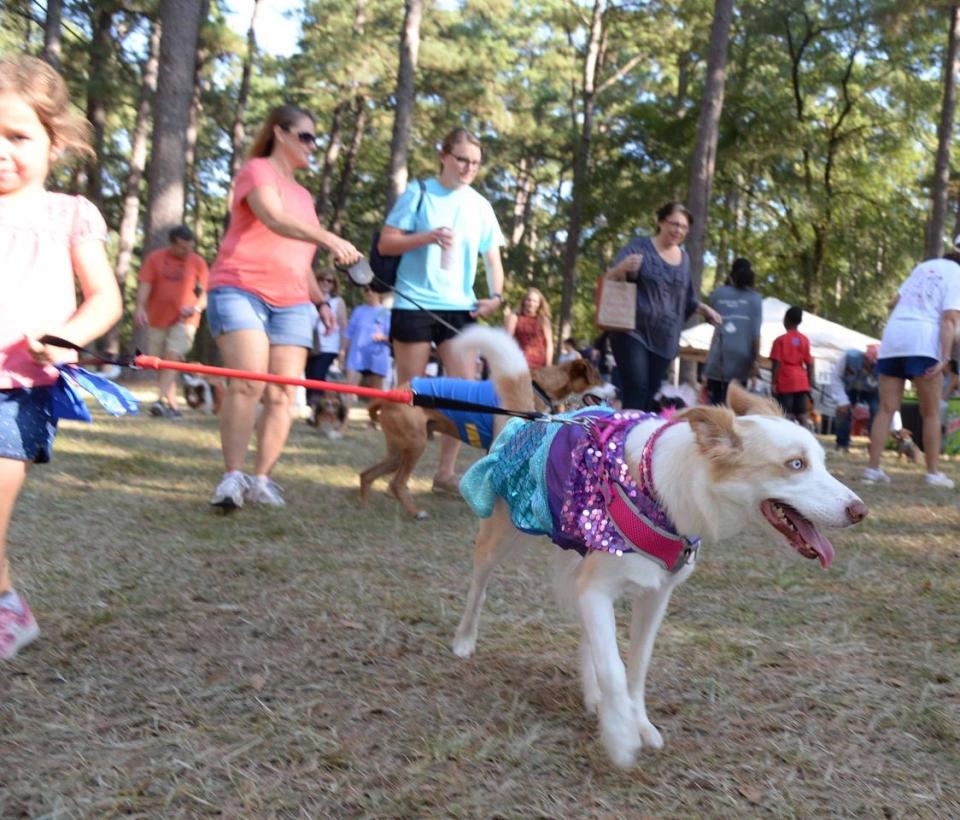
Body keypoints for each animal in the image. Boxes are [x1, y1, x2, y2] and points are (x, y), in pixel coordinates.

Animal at [358, 324, 600, 516]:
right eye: (598, 378)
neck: (538, 386)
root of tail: (392, 396)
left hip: (398, 450)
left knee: (367, 474)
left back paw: (366, 508)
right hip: (415, 445)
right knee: (397, 483)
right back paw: (415, 512)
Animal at [452, 326, 872, 768]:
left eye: (822, 463)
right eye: (795, 464)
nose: (860, 511)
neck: (662, 489)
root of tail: (535, 420)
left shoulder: (654, 596)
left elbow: (635, 666)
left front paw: (635, 721)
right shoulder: (598, 588)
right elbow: (615, 667)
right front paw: (621, 738)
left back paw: (594, 695)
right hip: (500, 536)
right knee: (480, 587)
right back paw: (465, 641)